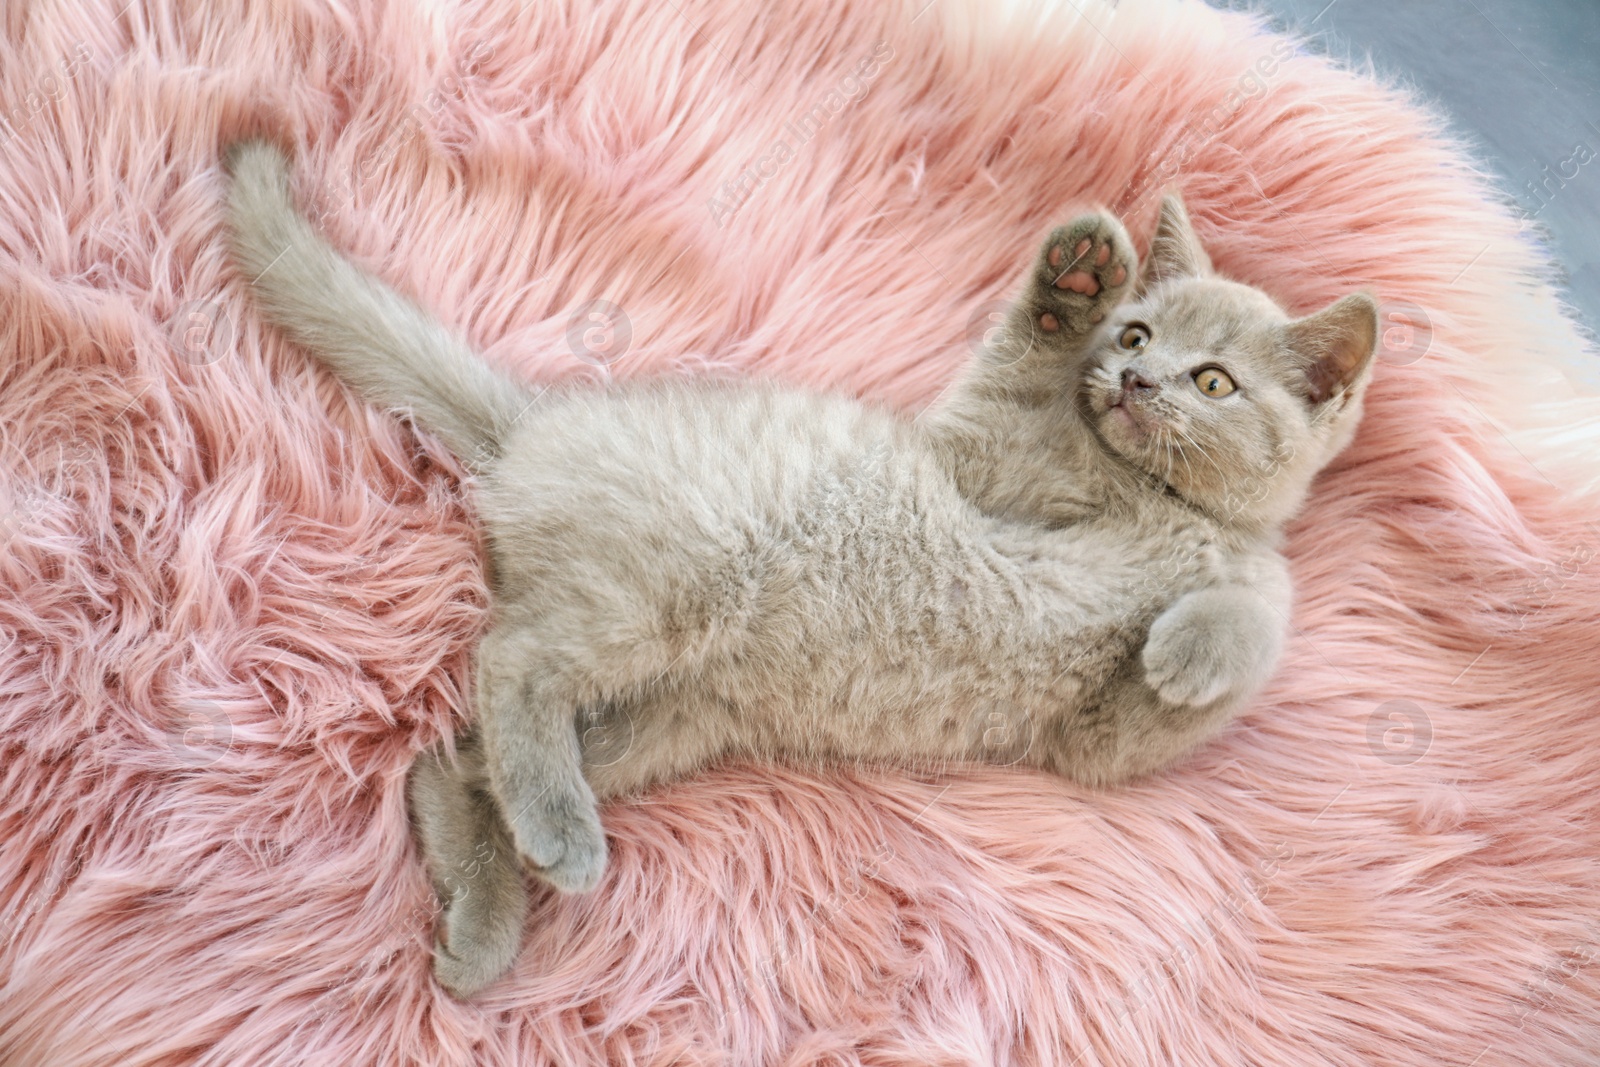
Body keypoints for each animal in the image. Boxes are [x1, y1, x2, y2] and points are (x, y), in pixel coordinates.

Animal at [222, 137, 1376, 998]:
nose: (1135, 379)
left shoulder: (1095, 737)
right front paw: (1069, 283)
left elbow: (1237, 631)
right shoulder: (980, 465)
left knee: (460, 752)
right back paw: (557, 834)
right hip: (676, 587)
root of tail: (538, 425)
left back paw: (488, 904)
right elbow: (1015, 384)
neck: (1162, 506)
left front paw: (1188, 647)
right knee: (512, 662)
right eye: (1135, 333)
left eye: (1213, 380)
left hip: (672, 714)